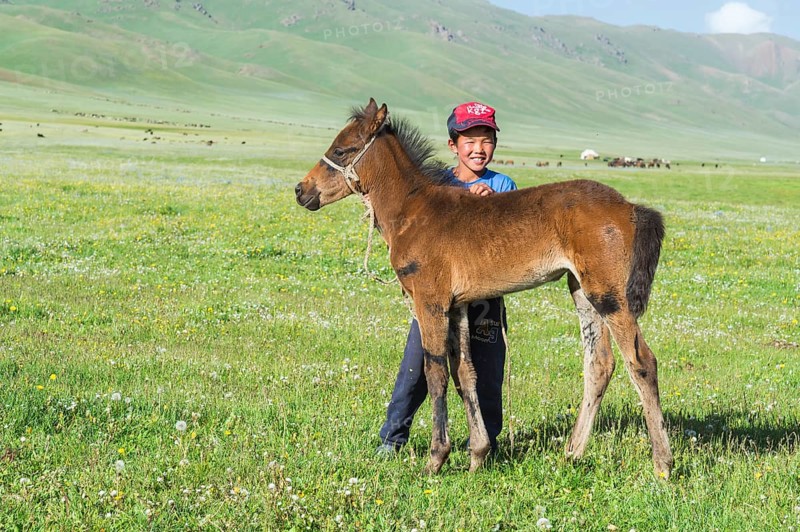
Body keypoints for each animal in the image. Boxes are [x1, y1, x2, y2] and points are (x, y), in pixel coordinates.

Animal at [295, 98, 673, 478]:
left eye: (341, 150)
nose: (301, 190)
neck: (414, 210)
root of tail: (630, 207)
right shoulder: (458, 305)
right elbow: (464, 373)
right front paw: (478, 454)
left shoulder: (430, 301)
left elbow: (435, 373)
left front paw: (436, 458)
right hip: (582, 289)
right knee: (599, 364)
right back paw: (572, 453)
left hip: (609, 294)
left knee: (642, 362)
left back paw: (662, 464)